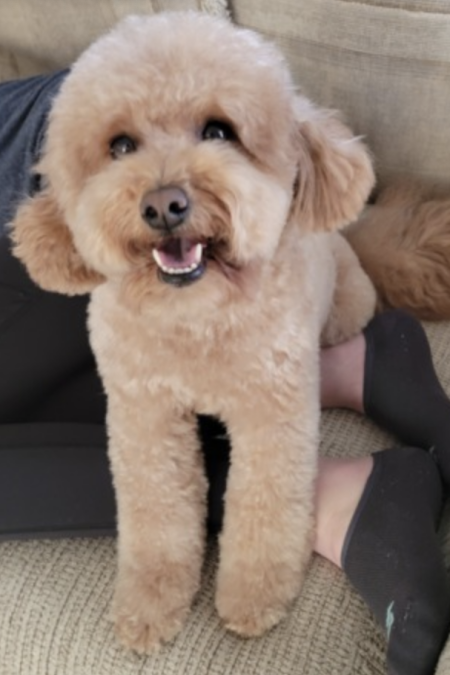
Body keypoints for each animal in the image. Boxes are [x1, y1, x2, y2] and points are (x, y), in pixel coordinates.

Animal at [11, 11, 376, 653]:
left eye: (219, 131)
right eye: (120, 146)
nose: (164, 204)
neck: (195, 319)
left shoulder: (271, 413)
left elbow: (265, 505)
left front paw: (254, 595)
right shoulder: (145, 414)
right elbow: (157, 512)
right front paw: (150, 604)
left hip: (346, 308)